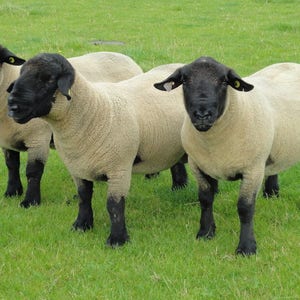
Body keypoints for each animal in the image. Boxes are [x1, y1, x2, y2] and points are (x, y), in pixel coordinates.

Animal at [0, 45, 148, 209]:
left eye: (49, 79)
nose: (14, 106)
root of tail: (128, 59)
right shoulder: (6, 139)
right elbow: (11, 165)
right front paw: (12, 192)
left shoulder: (38, 139)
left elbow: (33, 171)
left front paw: (30, 201)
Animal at [154, 55, 300, 254]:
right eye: (184, 81)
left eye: (224, 81)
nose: (202, 115)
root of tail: (292, 64)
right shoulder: (198, 165)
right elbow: (205, 199)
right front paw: (206, 232)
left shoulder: (253, 169)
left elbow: (245, 208)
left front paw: (246, 247)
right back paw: (271, 193)